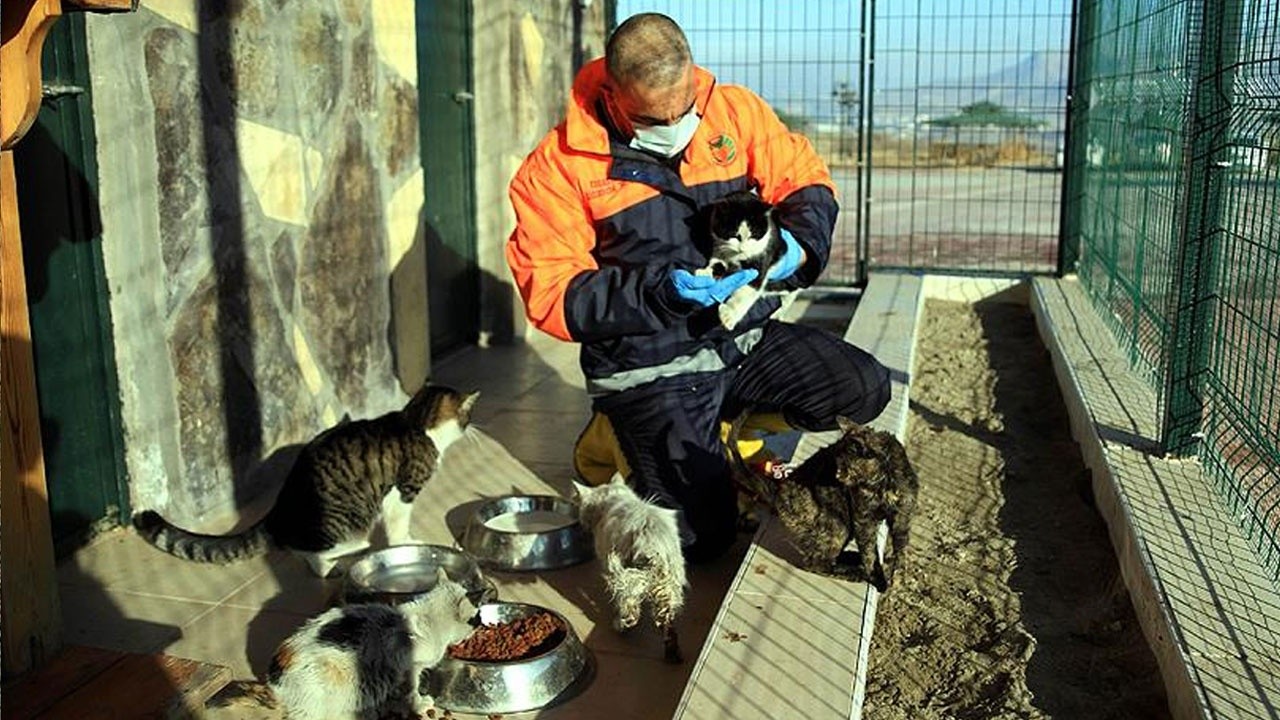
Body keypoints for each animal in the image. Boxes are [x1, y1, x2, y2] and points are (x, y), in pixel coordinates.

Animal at [133, 381, 481, 576]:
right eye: (468, 416)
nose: (473, 427)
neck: (417, 422)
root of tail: (277, 513)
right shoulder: (402, 492)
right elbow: (398, 528)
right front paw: (407, 542)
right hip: (347, 522)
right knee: (312, 552)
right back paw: (348, 552)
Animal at [267, 566, 478, 717]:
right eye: (475, 619)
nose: (477, 628)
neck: (429, 617)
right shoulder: (410, 667)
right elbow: (412, 689)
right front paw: (418, 704)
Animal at [573, 474, 691, 661]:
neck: (614, 497)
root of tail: (652, 541)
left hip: (627, 578)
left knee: (630, 609)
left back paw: (621, 626)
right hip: (668, 583)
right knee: (667, 623)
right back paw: (672, 654)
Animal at [701, 188, 788, 327]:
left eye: (753, 235)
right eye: (734, 235)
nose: (743, 249)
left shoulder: (762, 256)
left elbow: (748, 289)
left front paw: (728, 315)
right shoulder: (719, 248)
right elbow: (717, 262)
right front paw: (703, 274)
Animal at [727, 409, 916, 589]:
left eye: (845, 467)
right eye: (837, 463)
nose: (837, 475)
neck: (880, 484)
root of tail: (779, 489)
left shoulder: (902, 516)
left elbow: (901, 548)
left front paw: (898, 578)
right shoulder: (864, 519)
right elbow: (870, 553)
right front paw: (877, 578)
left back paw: (851, 559)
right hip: (839, 524)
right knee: (816, 562)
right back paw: (854, 572)